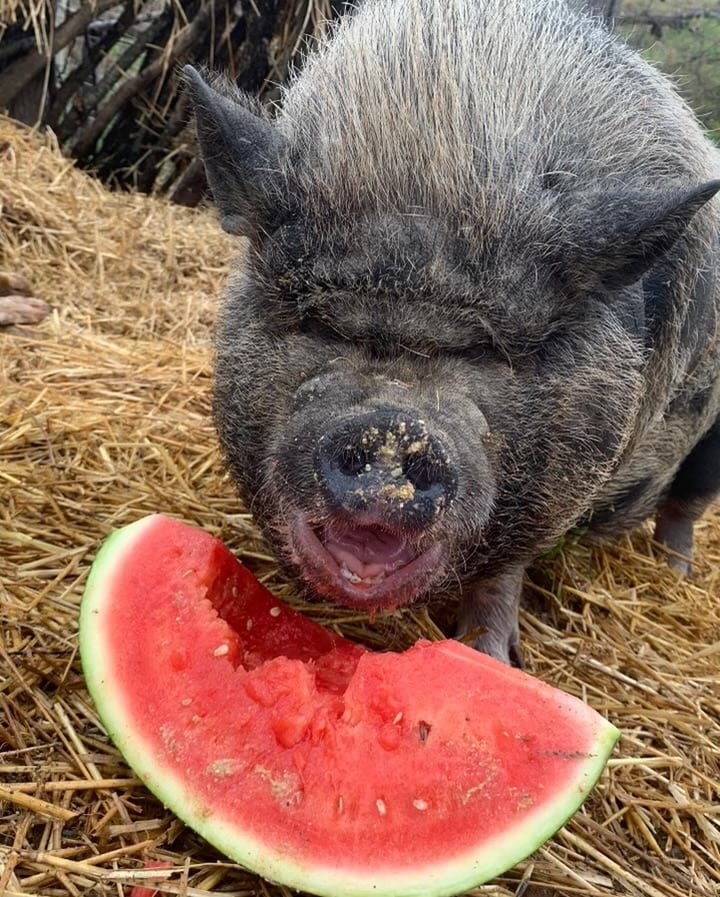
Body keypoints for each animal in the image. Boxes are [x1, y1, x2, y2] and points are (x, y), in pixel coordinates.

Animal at [184, 0, 720, 665]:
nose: (392, 428)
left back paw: (676, 573)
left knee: (688, 502)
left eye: (493, 351)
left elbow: (504, 570)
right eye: (319, 322)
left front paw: (491, 657)